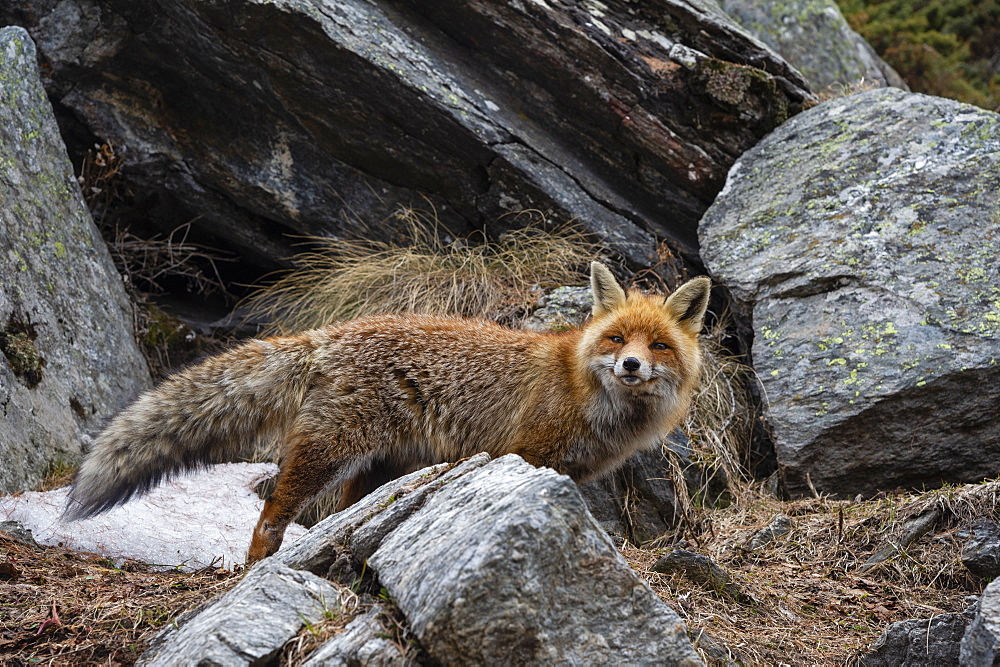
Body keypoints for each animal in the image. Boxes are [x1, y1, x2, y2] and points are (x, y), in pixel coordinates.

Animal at [66, 262, 708, 564]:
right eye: (617, 338)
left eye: (658, 346)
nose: (630, 365)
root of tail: (332, 333)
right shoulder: (525, 454)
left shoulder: (569, 470)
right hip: (328, 452)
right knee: (274, 508)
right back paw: (255, 565)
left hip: (381, 472)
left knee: (337, 515)